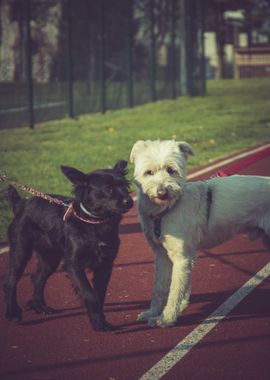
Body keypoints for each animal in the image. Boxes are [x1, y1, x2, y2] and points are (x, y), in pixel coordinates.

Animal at [4, 160, 133, 330]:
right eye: (108, 188)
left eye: (126, 186)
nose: (129, 201)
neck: (95, 223)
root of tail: (21, 203)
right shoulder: (74, 265)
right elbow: (89, 294)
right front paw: (99, 323)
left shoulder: (105, 265)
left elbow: (99, 295)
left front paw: (99, 321)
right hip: (21, 251)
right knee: (11, 281)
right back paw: (12, 313)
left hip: (50, 258)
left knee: (37, 278)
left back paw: (40, 307)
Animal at [130, 140, 270, 326]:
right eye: (148, 172)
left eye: (171, 170)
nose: (162, 192)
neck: (165, 210)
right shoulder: (162, 256)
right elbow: (160, 288)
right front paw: (153, 312)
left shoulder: (182, 258)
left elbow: (175, 291)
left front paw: (167, 318)